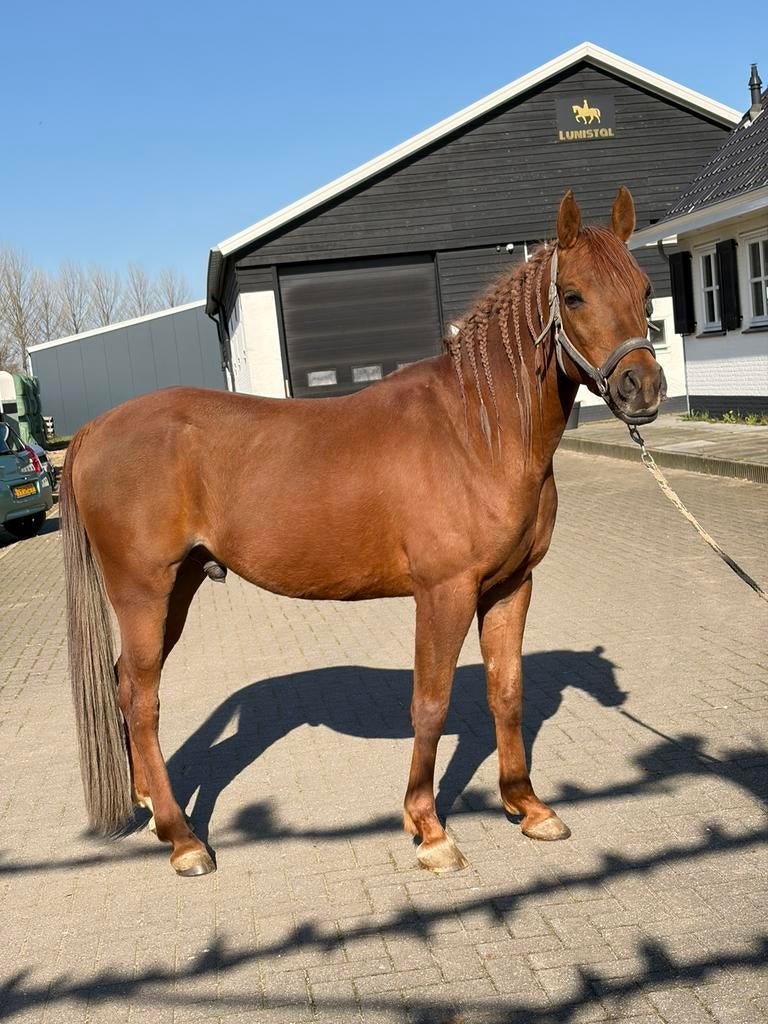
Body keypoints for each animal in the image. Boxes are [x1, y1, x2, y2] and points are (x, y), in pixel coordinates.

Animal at [60, 187, 665, 877]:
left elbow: (506, 690)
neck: (476, 431)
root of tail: (94, 429)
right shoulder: (444, 592)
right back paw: (183, 838)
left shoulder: (511, 587)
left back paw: (147, 804)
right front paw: (429, 829)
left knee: (124, 686)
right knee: (142, 698)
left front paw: (528, 806)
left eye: (646, 291)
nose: (642, 388)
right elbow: (430, 703)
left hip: (178, 589)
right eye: (573, 296)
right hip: (143, 592)